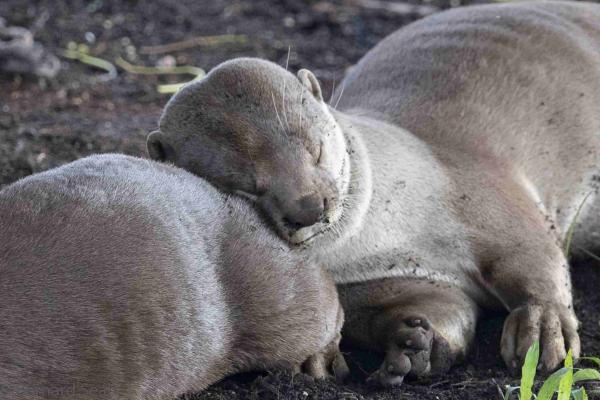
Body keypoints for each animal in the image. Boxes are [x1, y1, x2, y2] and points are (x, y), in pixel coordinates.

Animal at [146, 0, 600, 388]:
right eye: (244, 186)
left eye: (315, 149)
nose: (309, 208)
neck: (397, 235)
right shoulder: (381, 280)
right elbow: (431, 306)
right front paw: (409, 344)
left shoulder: (482, 190)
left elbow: (532, 255)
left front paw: (542, 330)